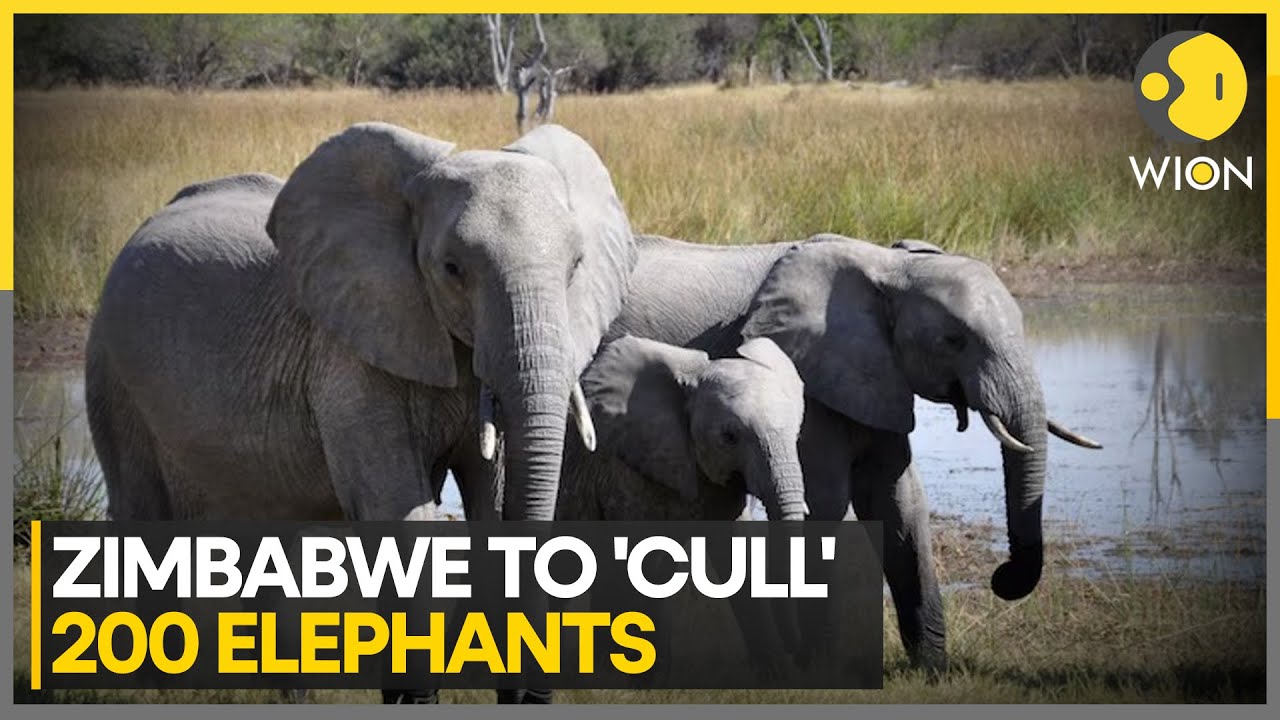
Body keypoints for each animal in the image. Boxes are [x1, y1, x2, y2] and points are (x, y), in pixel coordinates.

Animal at [86, 122, 635, 528]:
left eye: (576, 265)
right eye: (452, 269)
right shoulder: (344, 355)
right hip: (113, 376)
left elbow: (490, 495)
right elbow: (396, 509)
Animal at [585, 232, 1101, 674]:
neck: (891, 267)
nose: (1002, 577)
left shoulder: (879, 377)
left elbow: (899, 502)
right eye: (954, 341)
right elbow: (828, 502)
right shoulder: (810, 381)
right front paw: (819, 669)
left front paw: (933, 670)